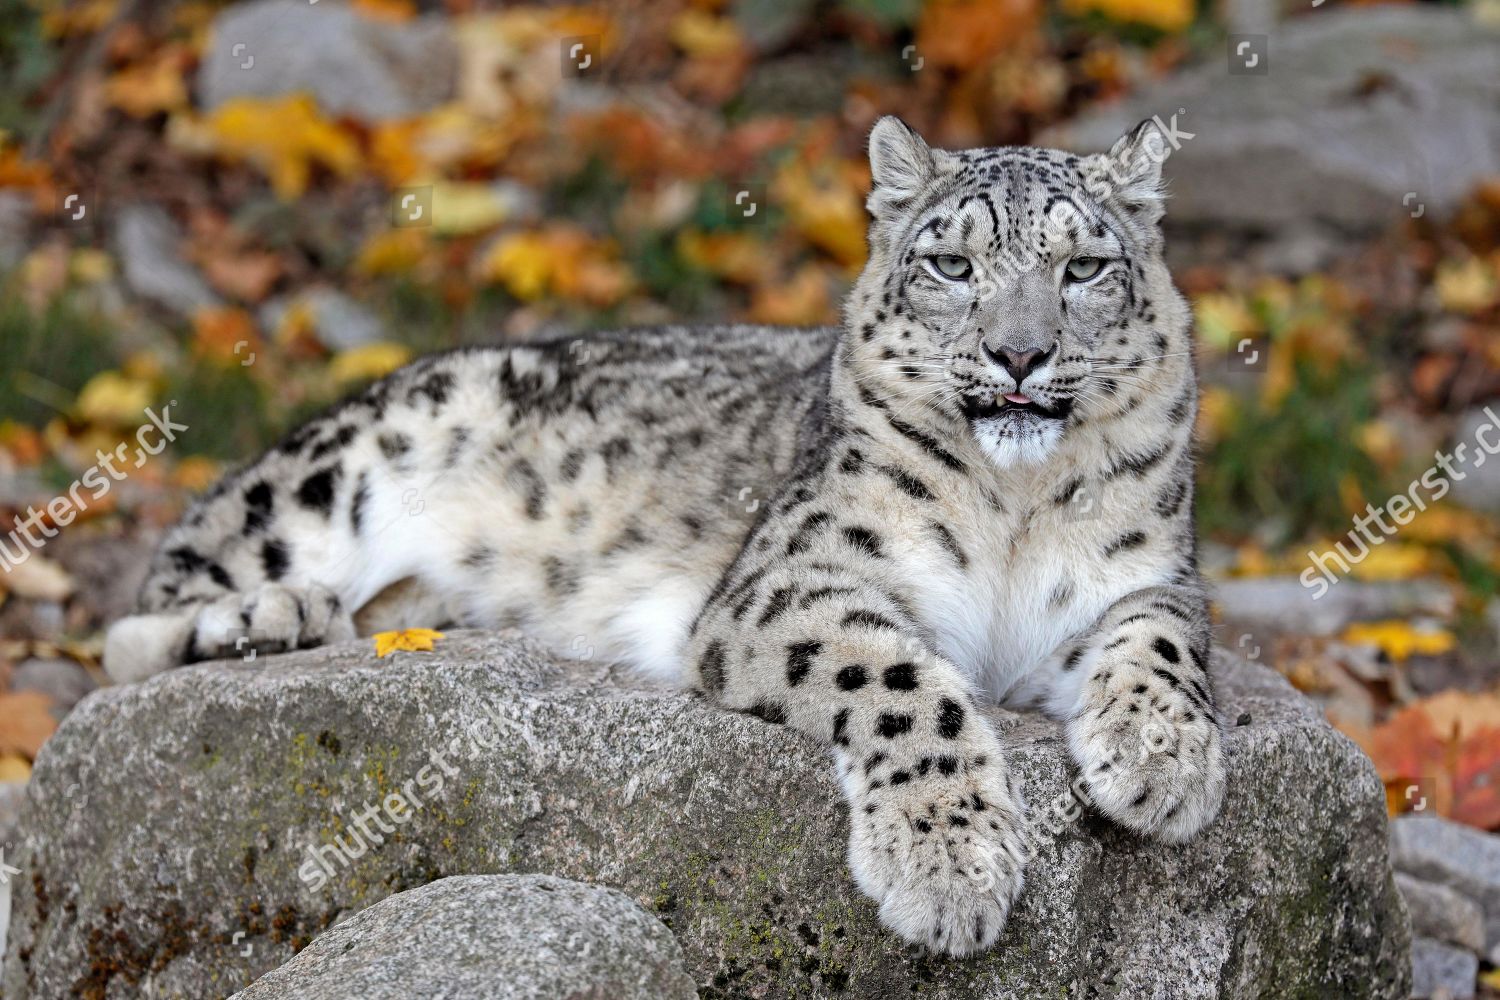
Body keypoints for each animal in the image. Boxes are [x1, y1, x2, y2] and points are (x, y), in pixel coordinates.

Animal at [111, 115, 1224, 953]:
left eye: (1084, 267)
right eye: (953, 262)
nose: (1019, 354)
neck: (1014, 506)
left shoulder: (1145, 578)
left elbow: (1167, 642)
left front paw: (1163, 764)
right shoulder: (798, 576)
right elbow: (901, 683)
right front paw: (949, 865)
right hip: (334, 472)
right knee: (148, 605)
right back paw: (271, 616)